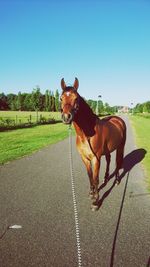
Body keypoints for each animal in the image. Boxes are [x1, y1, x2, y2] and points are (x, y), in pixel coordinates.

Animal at [60, 77, 126, 211]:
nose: (66, 117)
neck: (86, 134)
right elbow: (90, 175)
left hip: (120, 147)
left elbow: (95, 179)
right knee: (109, 160)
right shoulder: (85, 158)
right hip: (107, 150)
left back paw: (116, 180)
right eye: (61, 98)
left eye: (76, 98)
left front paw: (96, 201)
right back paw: (106, 178)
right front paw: (91, 193)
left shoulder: (96, 159)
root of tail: (118, 120)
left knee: (118, 162)